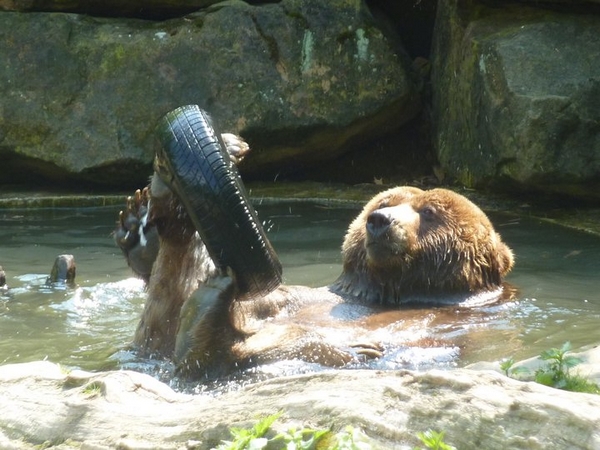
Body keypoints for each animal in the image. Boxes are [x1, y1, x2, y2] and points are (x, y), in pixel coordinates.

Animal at [115, 142, 512, 378]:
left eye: (429, 212)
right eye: (386, 202)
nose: (379, 221)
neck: (393, 290)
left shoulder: (455, 323)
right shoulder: (306, 296)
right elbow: (269, 303)